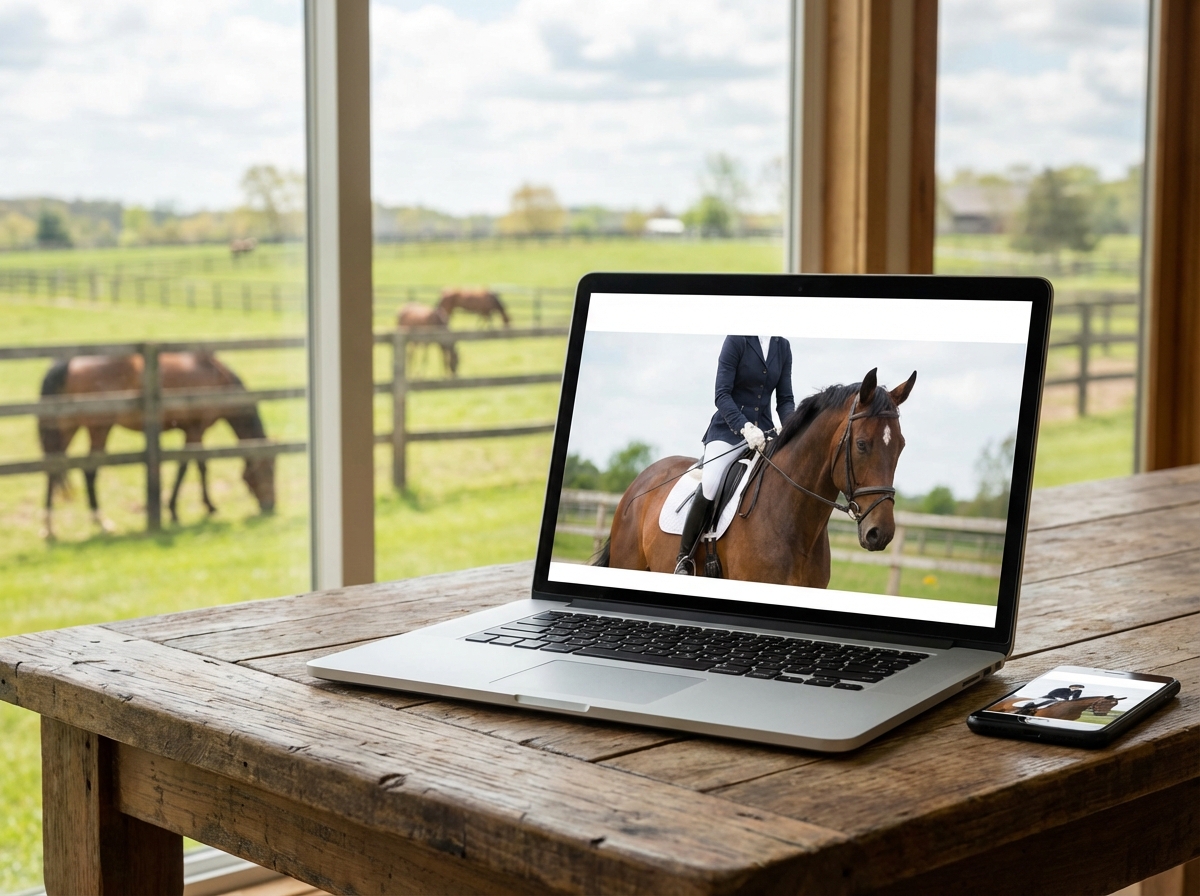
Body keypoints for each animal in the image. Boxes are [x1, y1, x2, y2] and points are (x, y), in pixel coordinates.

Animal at [37, 352, 276, 539]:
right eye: (267, 470)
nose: (270, 506)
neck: (218, 379)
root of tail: (70, 362)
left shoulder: (191, 431)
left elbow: (196, 465)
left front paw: (200, 506)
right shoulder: (195, 430)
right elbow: (191, 466)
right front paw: (185, 509)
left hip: (67, 426)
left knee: (53, 469)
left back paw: (49, 528)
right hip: (99, 428)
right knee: (89, 470)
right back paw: (102, 522)